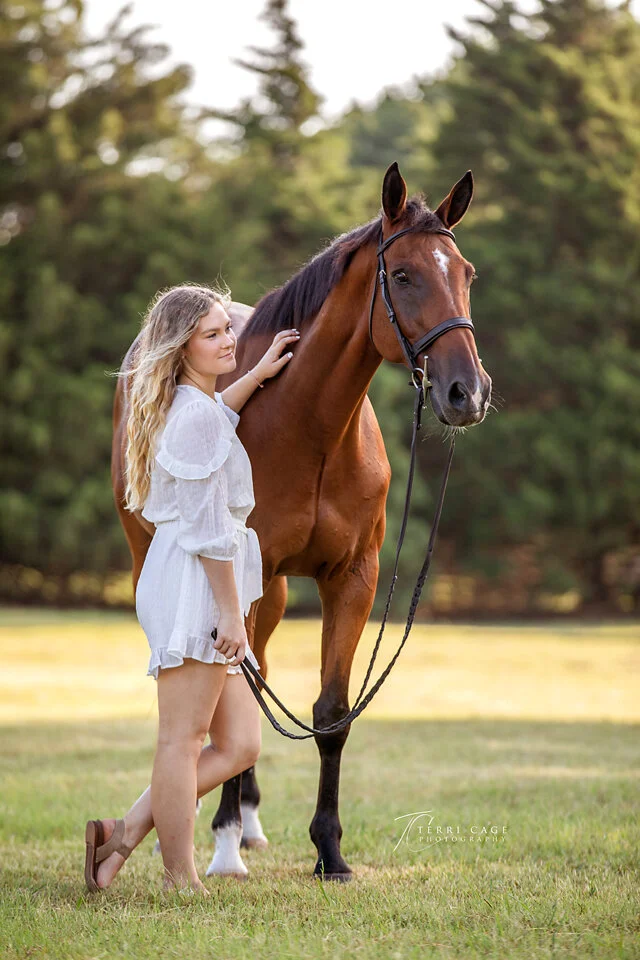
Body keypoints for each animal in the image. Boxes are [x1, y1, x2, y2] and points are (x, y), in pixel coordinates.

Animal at [111, 162, 492, 881]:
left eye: (466, 273)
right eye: (404, 275)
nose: (467, 392)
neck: (309, 425)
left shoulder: (352, 578)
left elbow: (331, 713)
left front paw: (329, 852)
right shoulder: (240, 569)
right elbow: (233, 690)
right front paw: (224, 845)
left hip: (278, 588)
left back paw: (250, 822)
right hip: (175, 564)